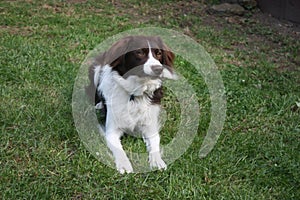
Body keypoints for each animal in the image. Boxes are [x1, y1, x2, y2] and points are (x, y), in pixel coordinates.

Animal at [85, 35, 177, 173]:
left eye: (159, 53)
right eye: (139, 52)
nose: (158, 68)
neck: (135, 95)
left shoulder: (150, 126)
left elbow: (155, 142)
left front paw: (157, 161)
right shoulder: (111, 130)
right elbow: (119, 149)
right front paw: (124, 164)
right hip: (96, 69)